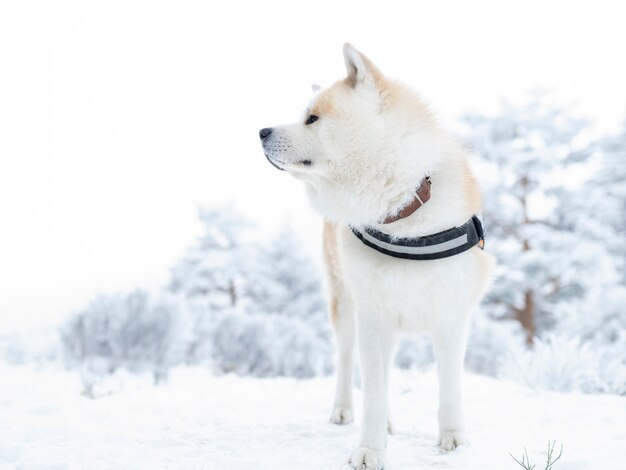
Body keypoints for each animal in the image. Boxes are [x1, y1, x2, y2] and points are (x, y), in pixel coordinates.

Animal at [258, 43, 492, 466]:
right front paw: (369, 449)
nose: (262, 131)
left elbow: (449, 387)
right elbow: (372, 390)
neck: (405, 215)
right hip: (347, 308)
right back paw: (344, 410)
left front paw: (453, 439)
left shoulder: (450, 316)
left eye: (312, 118)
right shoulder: (373, 314)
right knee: (348, 362)